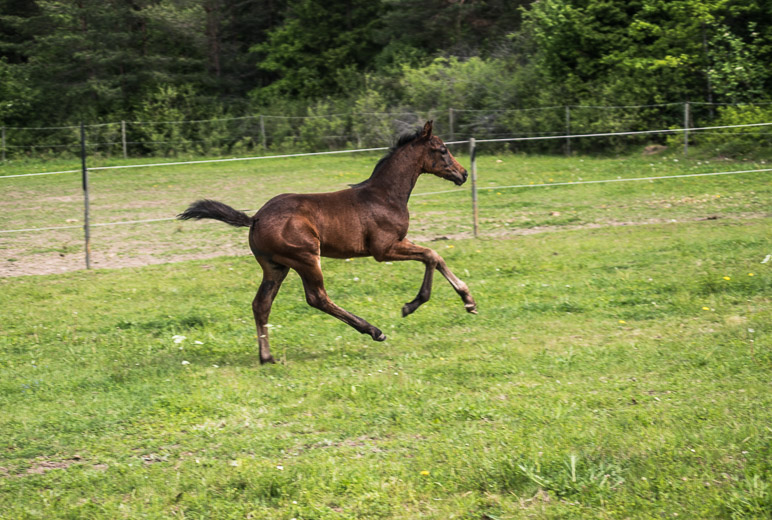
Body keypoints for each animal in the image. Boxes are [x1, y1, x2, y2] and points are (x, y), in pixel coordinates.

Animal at [179, 120, 476, 364]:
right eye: (442, 150)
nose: (463, 174)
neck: (385, 195)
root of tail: (255, 218)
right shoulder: (384, 249)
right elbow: (431, 255)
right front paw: (412, 305)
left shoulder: (400, 240)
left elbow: (436, 256)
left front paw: (469, 301)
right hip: (306, 258)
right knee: (317, 297)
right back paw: (374, 331)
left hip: (276, 267)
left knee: (261, 304)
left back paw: (267, 357)